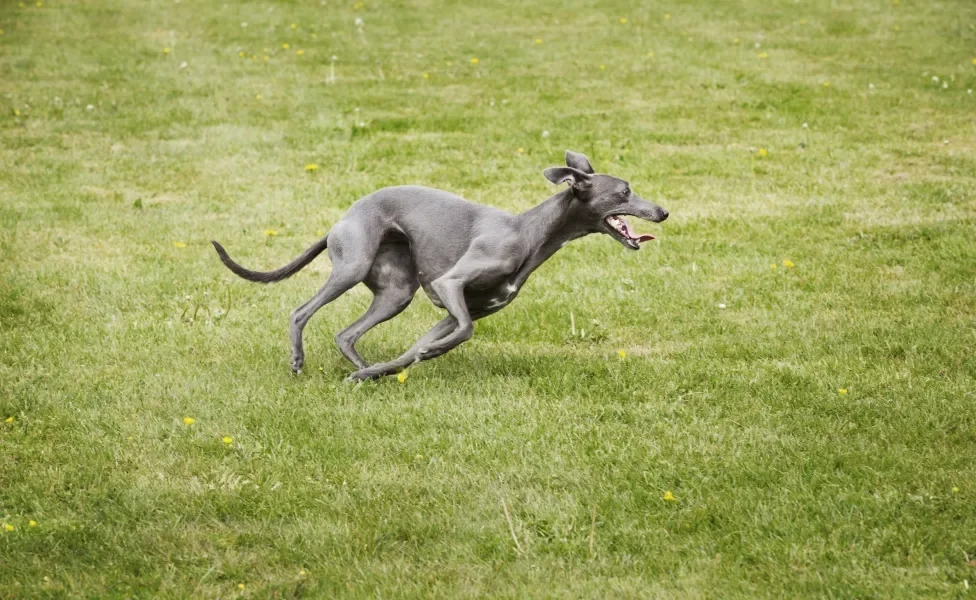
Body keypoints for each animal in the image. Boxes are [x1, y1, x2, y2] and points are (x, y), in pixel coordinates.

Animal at [212, 152, 672, 382]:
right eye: (625, 191)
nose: (664, 212)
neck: (529, 232)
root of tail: (338, 222)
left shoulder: (454, 311)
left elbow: (414, 350)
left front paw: (381, 372)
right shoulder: (449, 287)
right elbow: (462, 331)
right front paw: (426, 355)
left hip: (396, 293)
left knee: (346, 334)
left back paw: (360, 369)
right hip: (352, 266)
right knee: (299, 312)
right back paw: (297, 361)